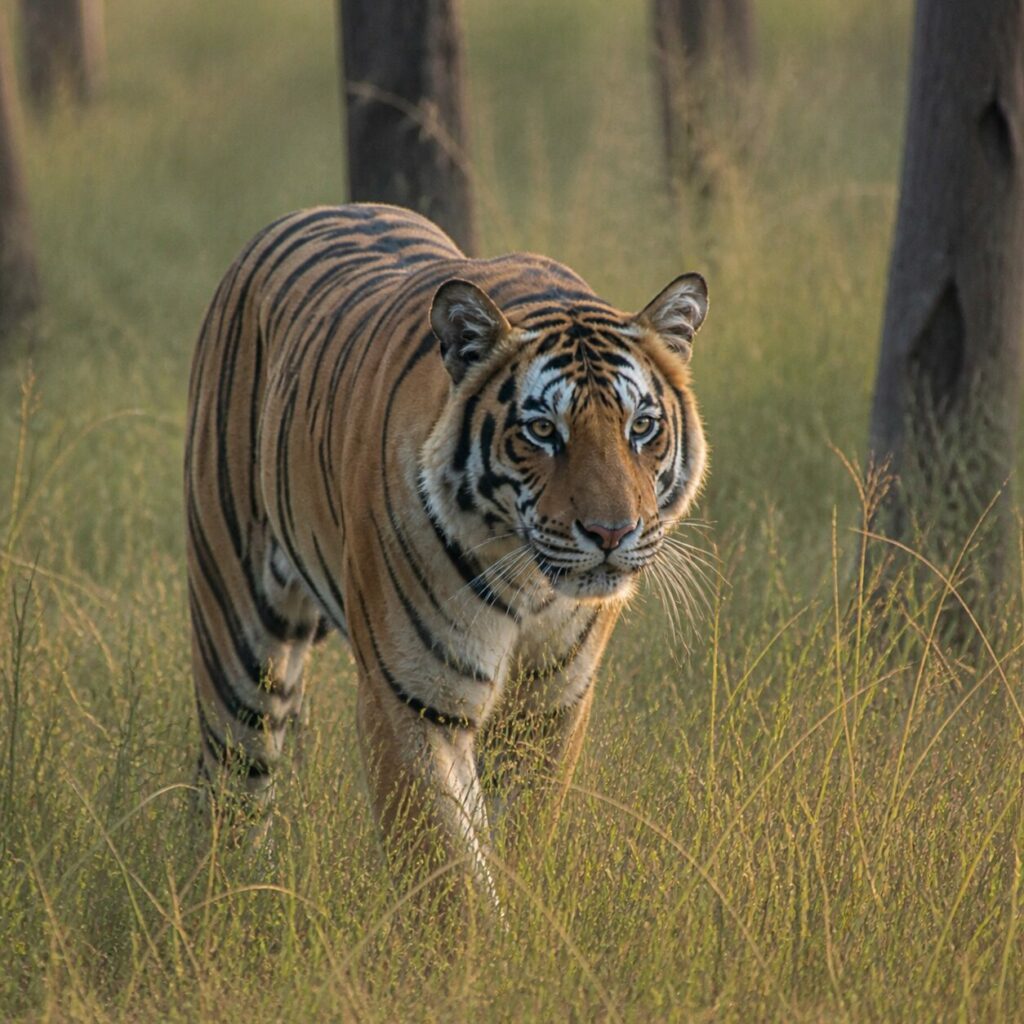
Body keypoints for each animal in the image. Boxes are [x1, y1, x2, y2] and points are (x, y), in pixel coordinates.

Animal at [185, 203, 709, 903]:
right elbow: (453, 878)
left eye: (642, 427)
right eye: (542, 431)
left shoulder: (549, 708)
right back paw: (232, 906)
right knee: (232, 791)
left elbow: (520, 845)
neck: (531, 587)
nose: (611, 533)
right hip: (237, 636)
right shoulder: (412, 701)